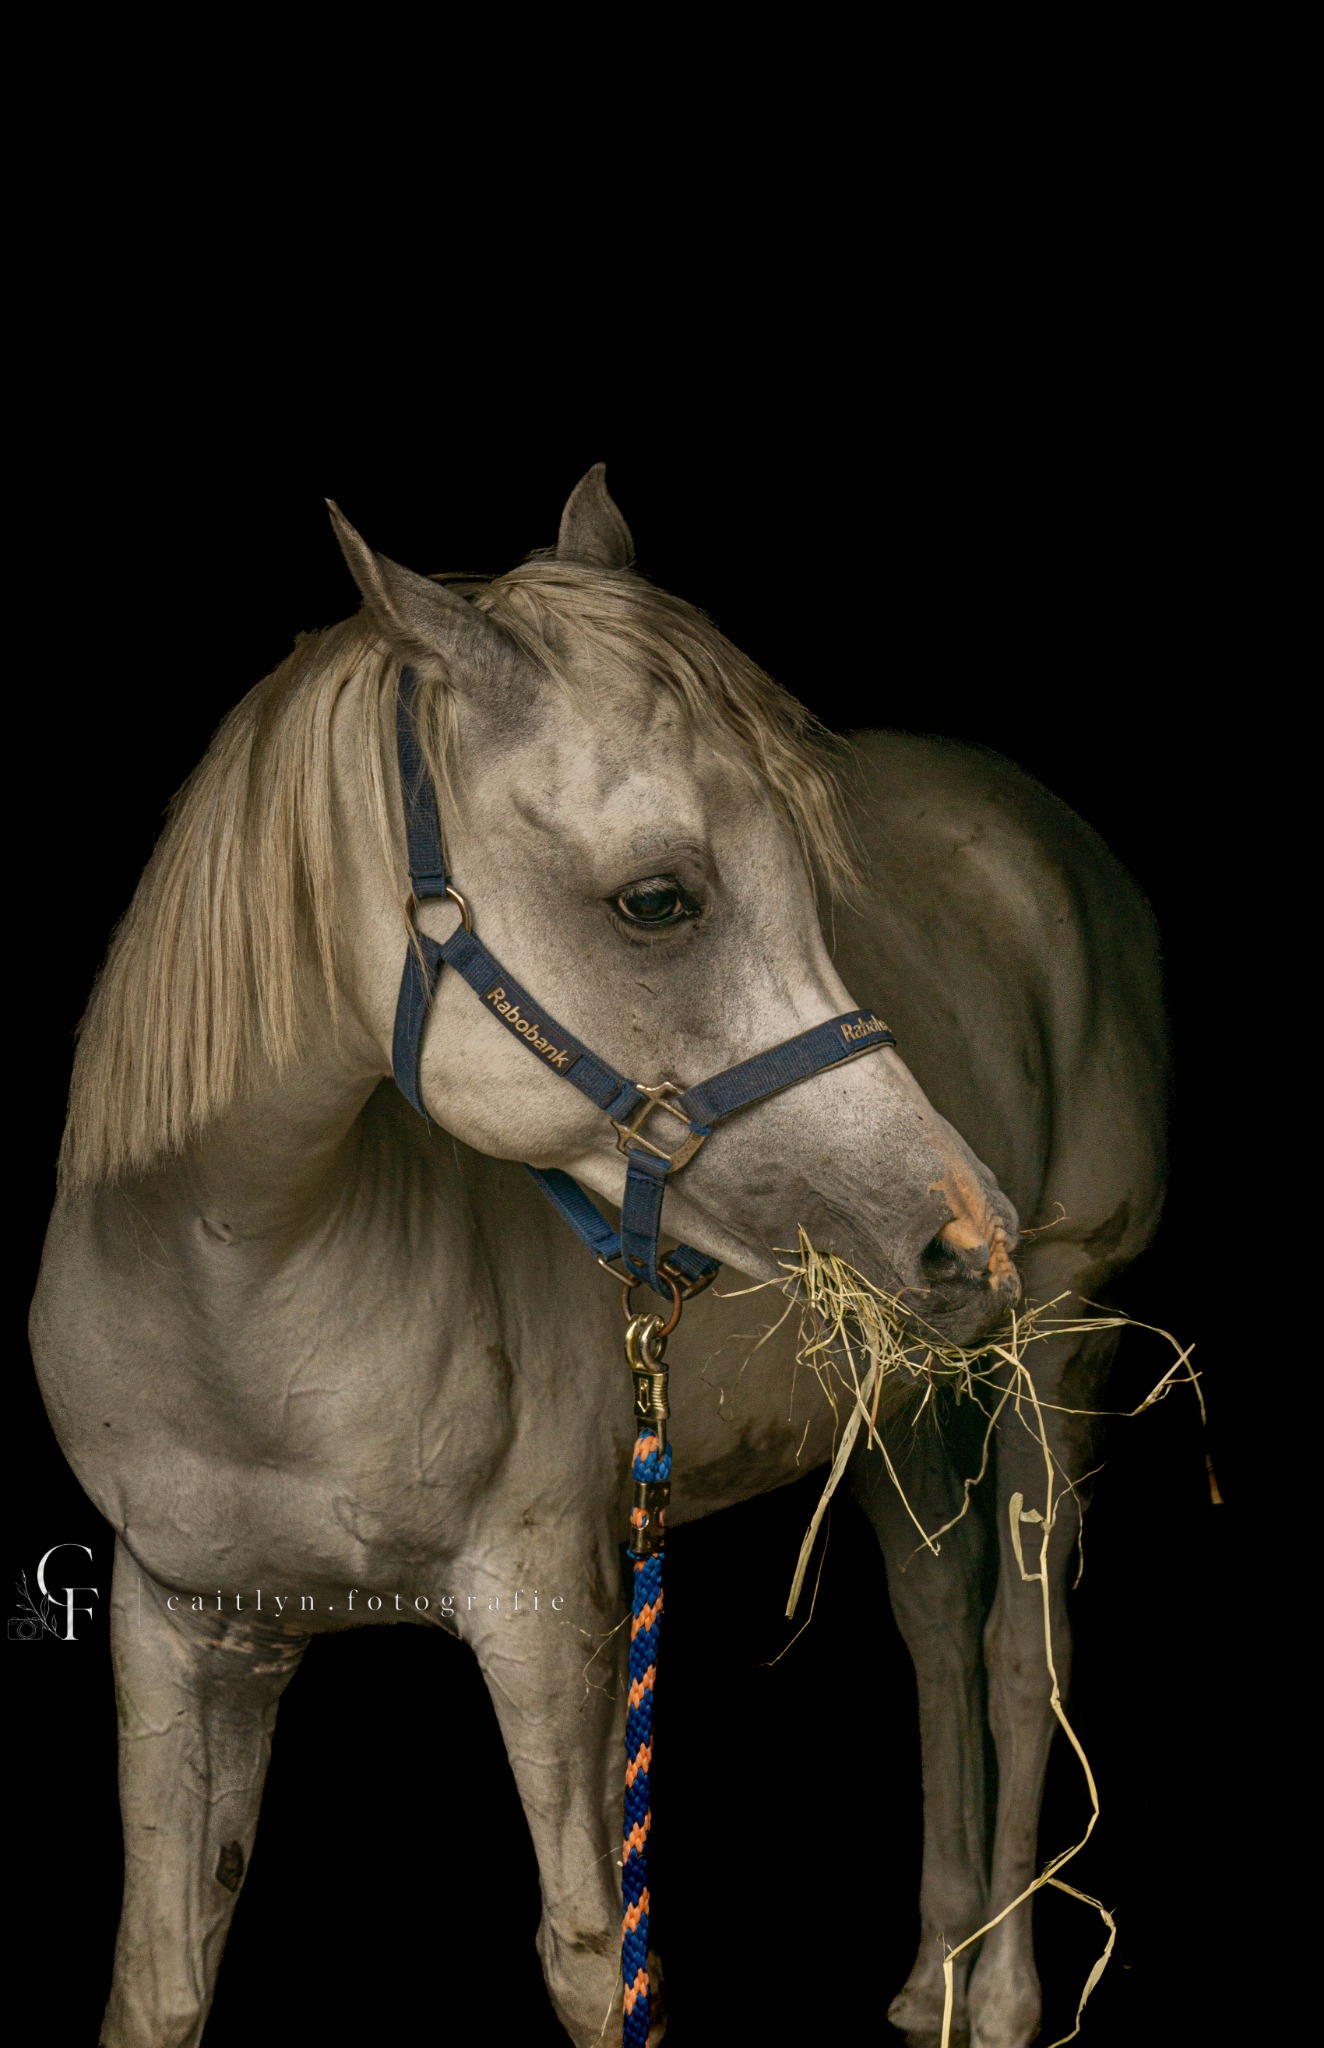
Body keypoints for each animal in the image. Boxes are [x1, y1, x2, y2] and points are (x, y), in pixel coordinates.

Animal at [30, 465, 1165, 2048]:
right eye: (657, 899)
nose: (965, 1227)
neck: (237, 1290)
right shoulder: (178, 1623)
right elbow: (157, 1973)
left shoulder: (544, 1610)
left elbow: (592, 1956)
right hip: (888, 1384)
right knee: (940, 1629)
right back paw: (933, 1973)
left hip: (1060, 1336)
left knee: (1017, 1653)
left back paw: (995, 1999)